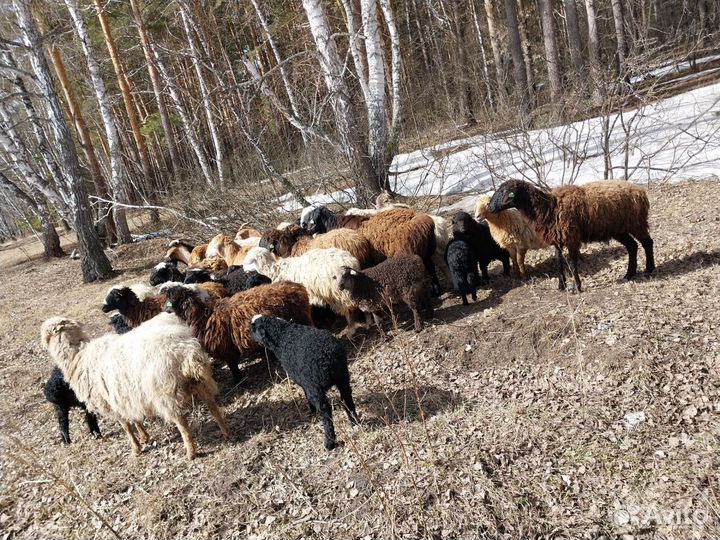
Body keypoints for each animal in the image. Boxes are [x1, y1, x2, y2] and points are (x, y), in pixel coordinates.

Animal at [40, 313, 230, 460]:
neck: (78, 356)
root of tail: (186, 353)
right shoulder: (125, 395)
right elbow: (135, 418)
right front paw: (144, 437)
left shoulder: (111, 402)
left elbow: (126, 426)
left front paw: (136, 448)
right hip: (200, 383)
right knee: (213, 407)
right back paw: (226, 432)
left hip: (165, 392)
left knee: (182, 423)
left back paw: (191, 452)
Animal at [162, 281, 313, 382]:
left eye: (173, 298)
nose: (165, 310)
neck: (204, 315)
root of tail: (297, 287)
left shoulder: (225, 348)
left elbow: (232, 365)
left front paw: (239, 380)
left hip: (302, 320)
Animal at [250, 315, 358, 450]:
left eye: (253, 328)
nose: (250, 336)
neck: (282, 335)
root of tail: (329, 356)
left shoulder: (305, 383)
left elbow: (306, 396)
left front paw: (312, 412)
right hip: (343, 377)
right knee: (347, 398)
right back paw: (354, 422)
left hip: (315, 386)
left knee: (326, 411)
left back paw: (329, 442)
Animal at [488, 179, 655, 292]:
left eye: (503, 192)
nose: (490, 208)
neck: (549, 207)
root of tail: (640, 191)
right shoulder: (557, 240)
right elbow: (559, 262)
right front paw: (561, 285)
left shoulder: (571, 238)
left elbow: (573, 263)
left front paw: (576, 287)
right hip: (619, 229)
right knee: (632, 246)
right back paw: (629, 274)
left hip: (636, 223)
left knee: (647, 242)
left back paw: (649, 269)